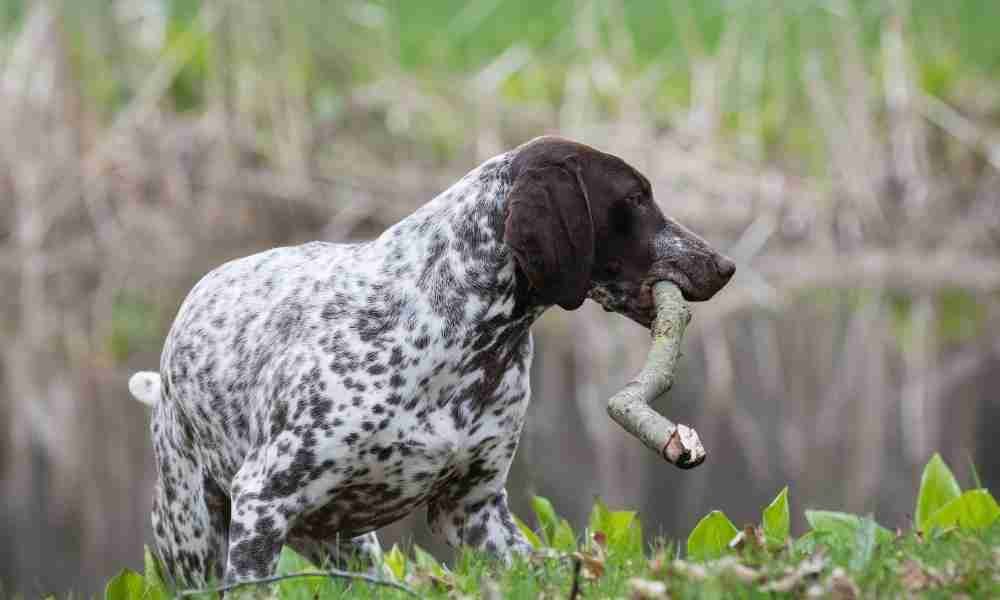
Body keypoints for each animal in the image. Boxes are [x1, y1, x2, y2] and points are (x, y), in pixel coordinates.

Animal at [133, 136, 736, 584]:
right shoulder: (263, 499)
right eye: (635, 199)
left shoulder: (475, 510)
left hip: (347, 549)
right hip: (197, 539)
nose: (723, 265)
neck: (463, 337)